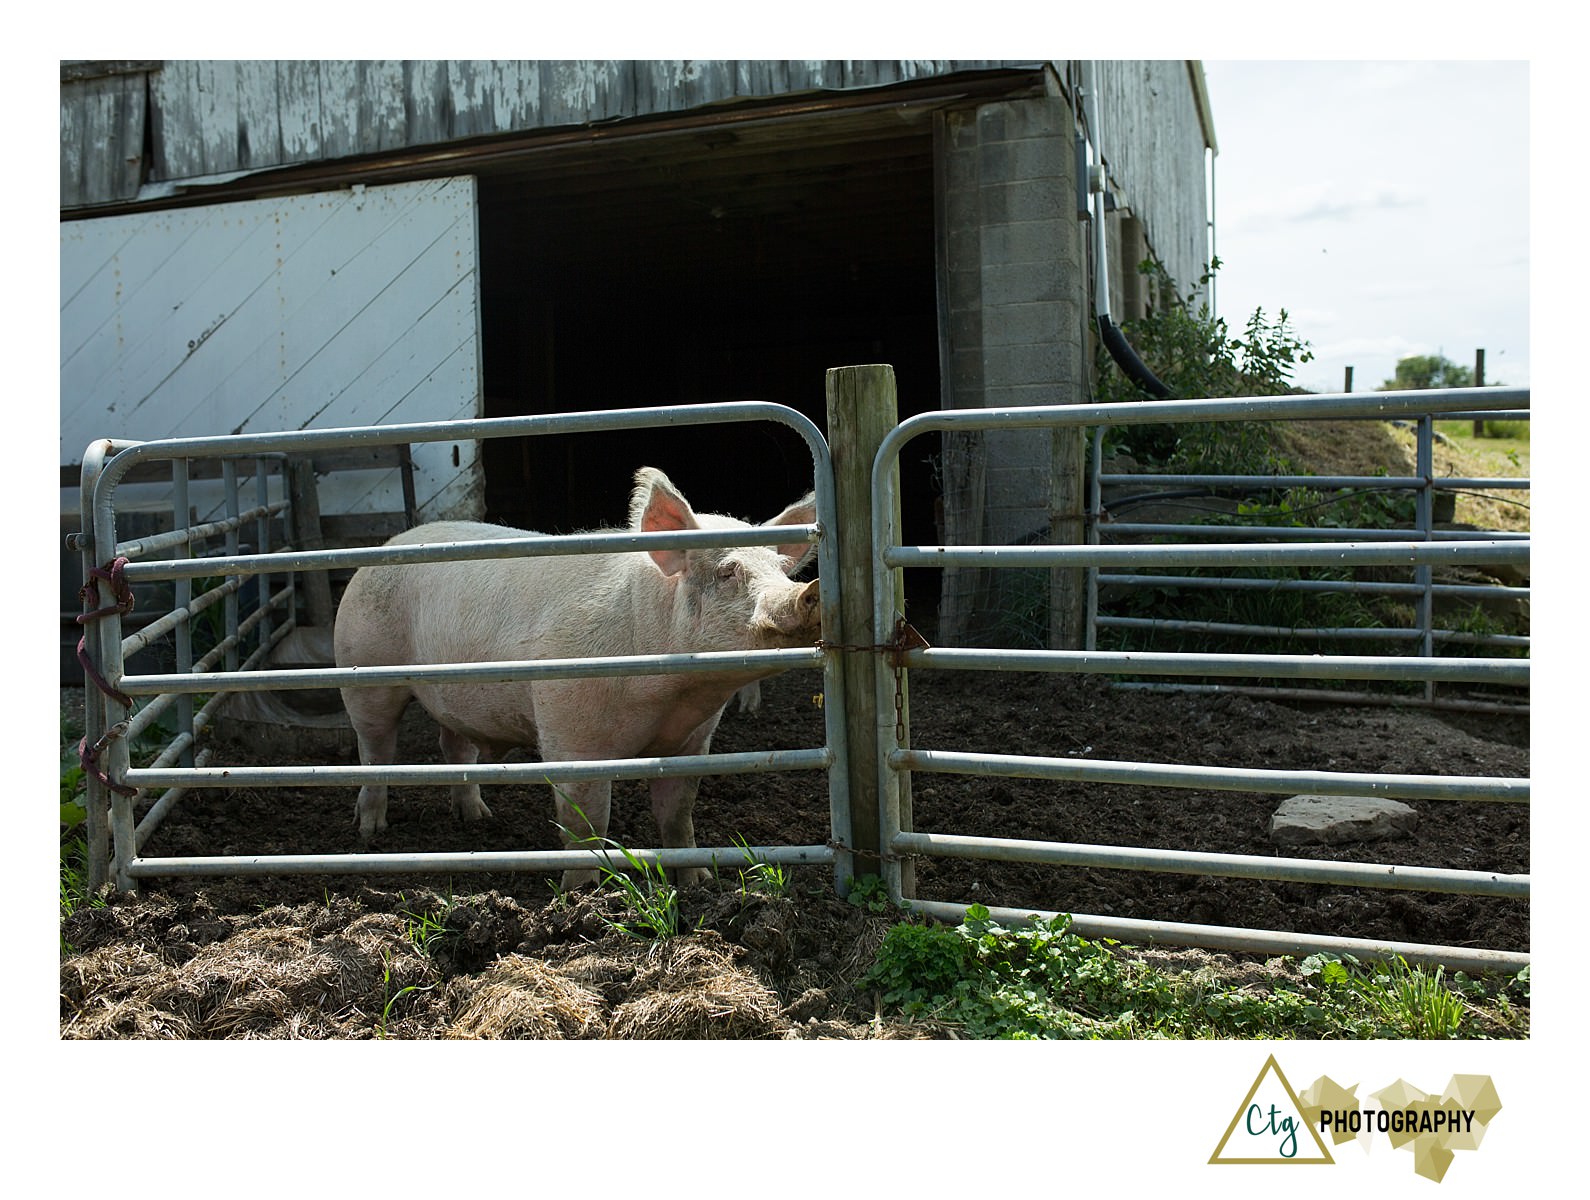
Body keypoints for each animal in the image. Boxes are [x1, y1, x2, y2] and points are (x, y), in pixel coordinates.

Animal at [330, 464, 826, 890]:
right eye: (727, 572)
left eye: (782, 570)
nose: (808, 591)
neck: (672, 695)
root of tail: (390, 543)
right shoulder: (570, 731)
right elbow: (586, 821)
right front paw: (583, 893)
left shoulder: (693, 740)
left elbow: (678, 814)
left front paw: (699, 882)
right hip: (363, 672)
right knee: (375, 750)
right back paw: (370, 831)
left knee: (454, 746)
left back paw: (477, 818)